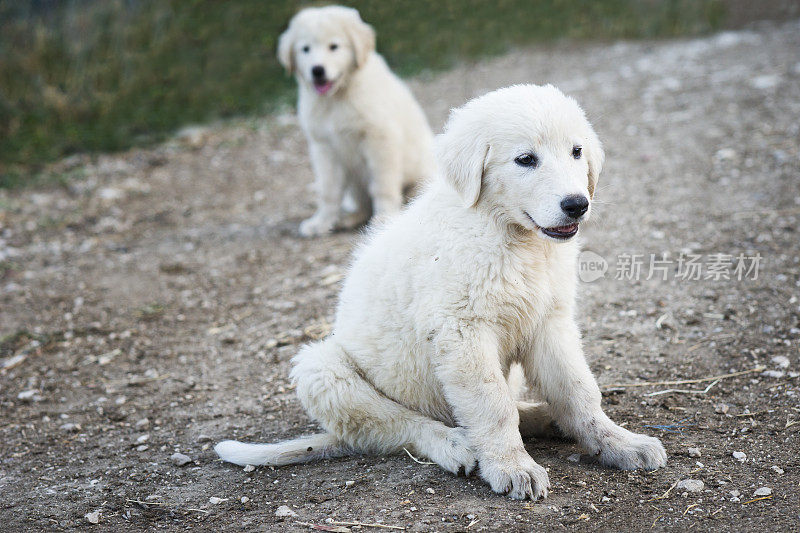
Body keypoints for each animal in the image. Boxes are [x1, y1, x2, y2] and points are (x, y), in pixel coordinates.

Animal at [216, 84, 664, 498]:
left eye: (576, 151)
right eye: (525, 160)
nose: (576, 204)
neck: (509, 236)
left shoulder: (549, 321)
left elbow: (579, 391)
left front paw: (619, 443)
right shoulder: (463, 331)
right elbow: (491, 406)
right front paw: (512, 468)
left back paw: (543, 418)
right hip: (323, 370)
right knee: (397, 425)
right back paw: (455, 445)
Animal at [276, 5, 438, 236]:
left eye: (334, 46)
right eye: (305, 49)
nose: (317, 70)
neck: (336, 99)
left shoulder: (380, 138)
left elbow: (382, 184)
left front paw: (384, 218)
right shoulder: (324, 147)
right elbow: (328, 190)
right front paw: (321, 222)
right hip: (354, 181)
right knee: (362, 202)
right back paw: (349, 219)